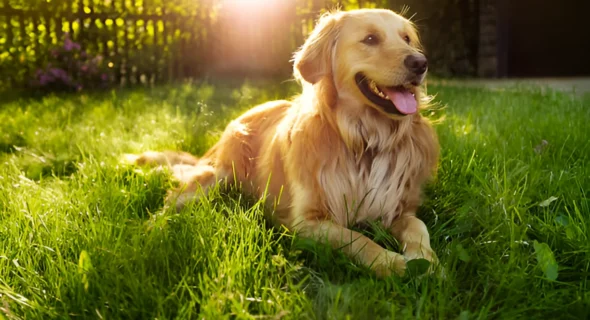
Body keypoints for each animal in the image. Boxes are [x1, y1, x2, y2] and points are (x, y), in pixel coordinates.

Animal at [128, 8, 440, 278]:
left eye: (407, 39)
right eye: (371, 39)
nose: (420, 63)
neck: (364, 140)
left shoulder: (398, 207)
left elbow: (419, 227)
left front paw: (426, 260)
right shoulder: (307, 221)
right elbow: (357, 238)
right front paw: (392, 263)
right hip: (214, 177)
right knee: (170, 202)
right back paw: (152, 231)